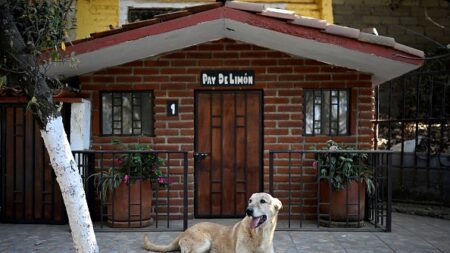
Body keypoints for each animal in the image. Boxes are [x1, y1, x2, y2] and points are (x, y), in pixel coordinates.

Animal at [143, 193, 282, 252]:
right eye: (250, 200)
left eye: (263, 201)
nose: (248, 210)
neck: (259, 235)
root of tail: (184, 232)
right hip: (204, 243)